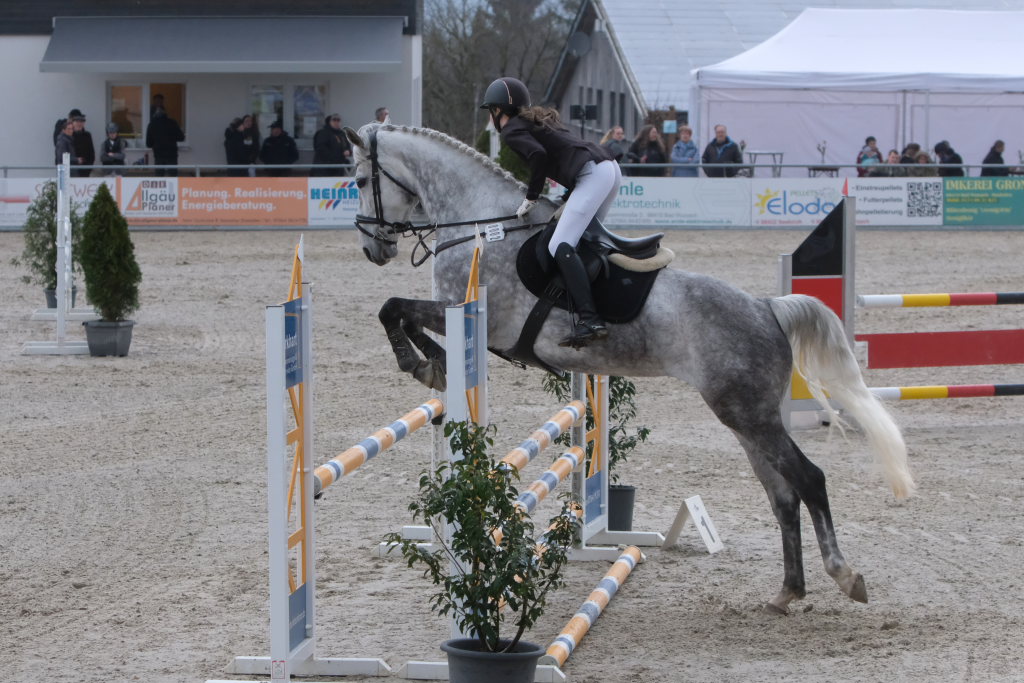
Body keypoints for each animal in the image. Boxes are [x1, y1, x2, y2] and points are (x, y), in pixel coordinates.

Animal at [342, 122, 914, 615]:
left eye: (360, 181)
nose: (373, 248)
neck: (481, 224)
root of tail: (765, 307)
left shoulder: (467, 311)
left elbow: (393, 308)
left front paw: (422, 363)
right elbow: (399, 312)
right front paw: (434, 364)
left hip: (748, 414)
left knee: (808, 480)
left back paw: (844, 576)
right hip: (748, 418)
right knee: (782, 495)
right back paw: (786, 592)